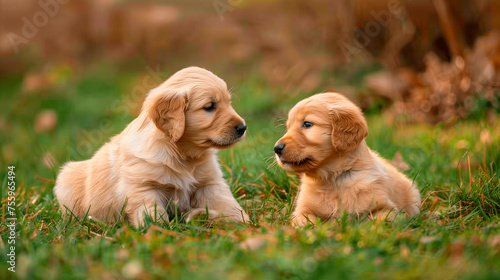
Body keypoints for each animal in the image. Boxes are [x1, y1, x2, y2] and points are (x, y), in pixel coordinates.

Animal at [54, 66, 250, 226]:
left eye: (229, 103)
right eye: (210, 106)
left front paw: (238, 219)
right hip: (67, 179)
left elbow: (227, 203)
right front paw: (159, 229)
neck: (182, 154)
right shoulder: (142, 186)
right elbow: (152, 214)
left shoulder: (209, 183)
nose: (243, 127)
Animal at [274, 93, 422, 226]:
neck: (332, 179)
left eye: (307, 124)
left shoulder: (388, 210)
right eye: (288, 127)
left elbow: (372, 223)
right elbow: (306, 222)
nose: (276, 148)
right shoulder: (302, 211)